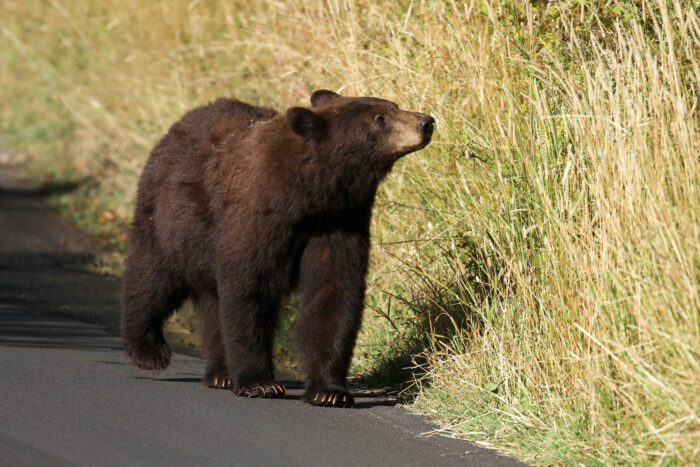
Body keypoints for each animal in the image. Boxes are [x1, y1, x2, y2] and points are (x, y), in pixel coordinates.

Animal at [121, 89, 434, 407]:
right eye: (380, 118)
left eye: (393, 106)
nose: (425, 122)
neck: (308, 194)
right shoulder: (258, 214)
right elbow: (249, 286)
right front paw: (259, 382)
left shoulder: (340, 220)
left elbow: (334, 290)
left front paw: (330, 390)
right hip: (167, 220)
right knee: (152, 276)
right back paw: (149, 351)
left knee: (210, 302)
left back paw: (220, 374)